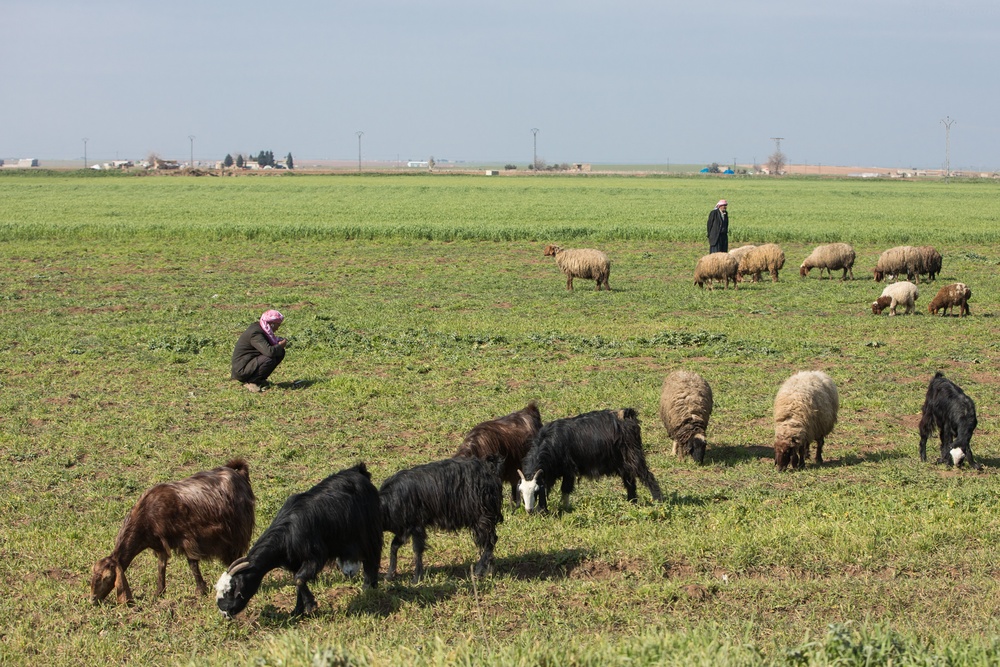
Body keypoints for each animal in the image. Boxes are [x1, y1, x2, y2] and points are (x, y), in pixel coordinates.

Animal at [90, 458, 255, 606]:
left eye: (107, 577)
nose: (93, 599)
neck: (146, 516)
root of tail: (238, 473)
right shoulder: (160, 544)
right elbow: (161, 567)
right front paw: (159, 592)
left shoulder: (187, 538)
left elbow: (192, 564)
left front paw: (200, 590)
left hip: (237, 531)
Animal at [215, 463, 382, 618]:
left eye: (231, 589)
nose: (224, 612)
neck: (286, 535)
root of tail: (359, 470)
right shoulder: (295, 562)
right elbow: (297, 582)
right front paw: (297, 611)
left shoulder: (316, 556)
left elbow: (299, 580)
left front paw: (310, 606)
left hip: (370, 530)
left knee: (373, 555)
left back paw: (370, 585)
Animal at [517, 408, 663, 513]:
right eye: (521, 491)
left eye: (535, 491)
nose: (529, 510)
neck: (551, 442)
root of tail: (628, 415)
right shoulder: (549, 474)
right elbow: (548, 488)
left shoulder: (568, 470)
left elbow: (565, 489)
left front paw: (565, 508)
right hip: (623, 462)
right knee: (630, 482)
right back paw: (632, 501)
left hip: (634, 456)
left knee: (647, 476)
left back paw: (658, 500)